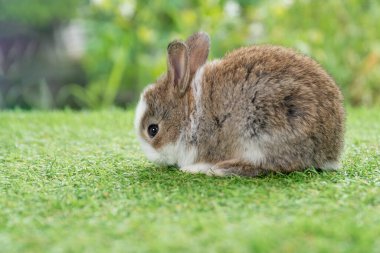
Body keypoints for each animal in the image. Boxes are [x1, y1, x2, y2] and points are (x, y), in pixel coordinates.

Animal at [135, 31, 346, 177]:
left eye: (152, 130)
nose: (151, 157)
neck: (189, 112)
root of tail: (330, 151)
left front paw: (194, 167)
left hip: (264, 131)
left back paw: (215, 170)